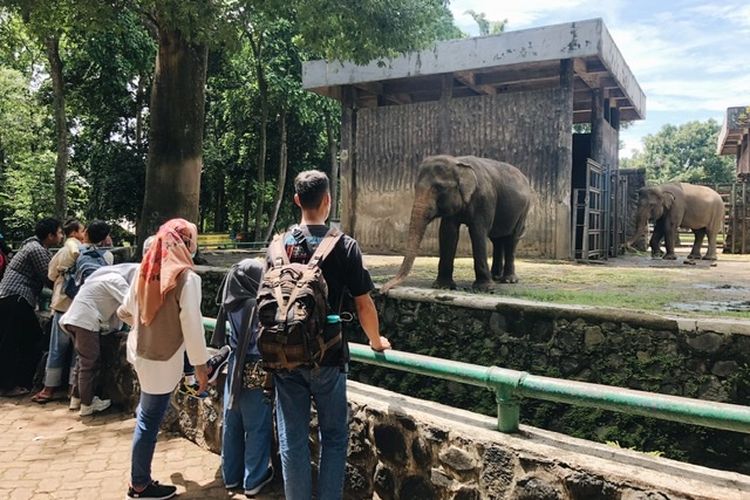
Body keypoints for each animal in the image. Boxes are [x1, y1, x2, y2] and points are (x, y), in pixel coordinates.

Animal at [382, 154, 536, 292]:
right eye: (415, 187)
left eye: (438, 188)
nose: (383, 290)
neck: (458, 163)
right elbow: (448, 232)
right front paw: (442, 286)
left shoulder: (484, 200)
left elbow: (478, 232)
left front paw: (484, 289)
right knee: (497, 239)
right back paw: (495, 277)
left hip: (524, 210)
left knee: (512, 239)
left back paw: (508, 280)